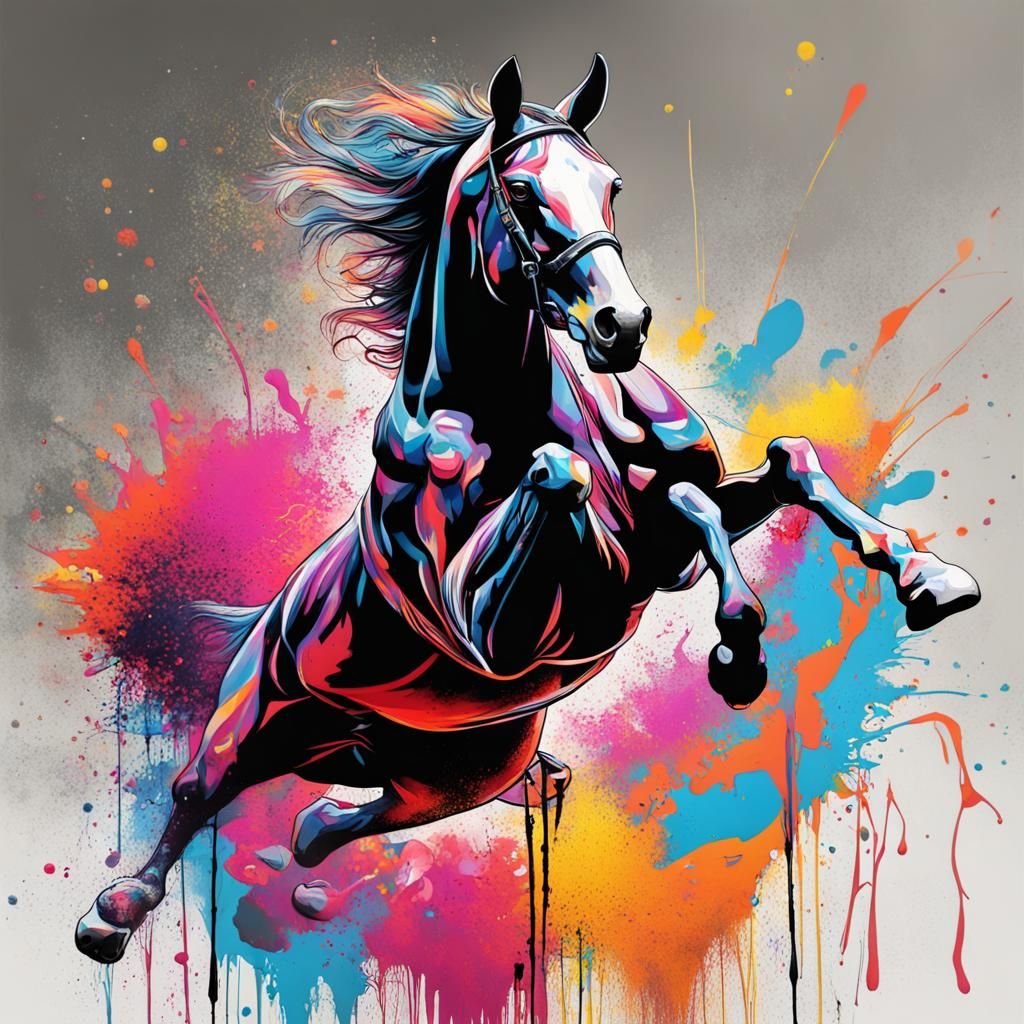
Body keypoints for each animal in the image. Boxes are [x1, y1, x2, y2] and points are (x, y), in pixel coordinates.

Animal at [75, 53, 980, 964]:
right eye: (520, 187)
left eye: (611, 184)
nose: (622, 326)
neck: (508, 408)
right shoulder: (494, 626)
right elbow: (581, 482)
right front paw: (738, 647)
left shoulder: (658, 550)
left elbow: (780, 466)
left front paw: (930, 579)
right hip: (258, 714)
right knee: (198, 789)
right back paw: (110, 913)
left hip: (463, 768)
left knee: (343, 821)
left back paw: (323, 825)